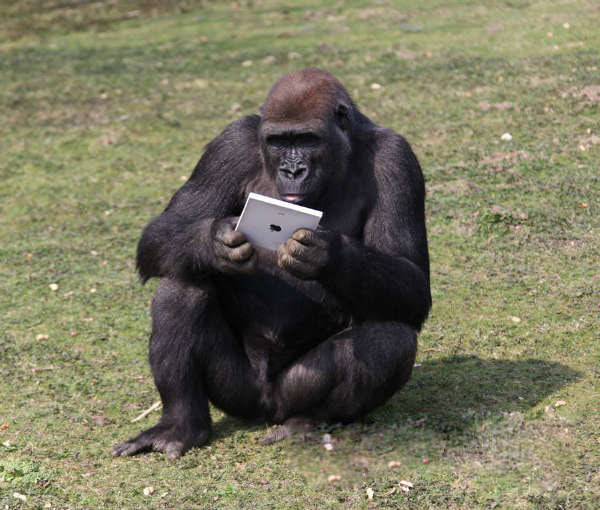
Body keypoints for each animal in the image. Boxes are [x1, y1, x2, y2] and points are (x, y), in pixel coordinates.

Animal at [111, 65, 432, 460]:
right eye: (279, 141)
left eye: (307, 139)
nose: (293, 170)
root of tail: (267, 408)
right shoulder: (230, 144)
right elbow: (164, 231)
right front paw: (217, 243)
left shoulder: (395, 159)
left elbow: (412, 281)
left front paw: (326, 254)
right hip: (237, 393)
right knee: (182, 283)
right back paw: (180, 423)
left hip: (289, 393)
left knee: (389, 340)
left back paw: (307, 422)